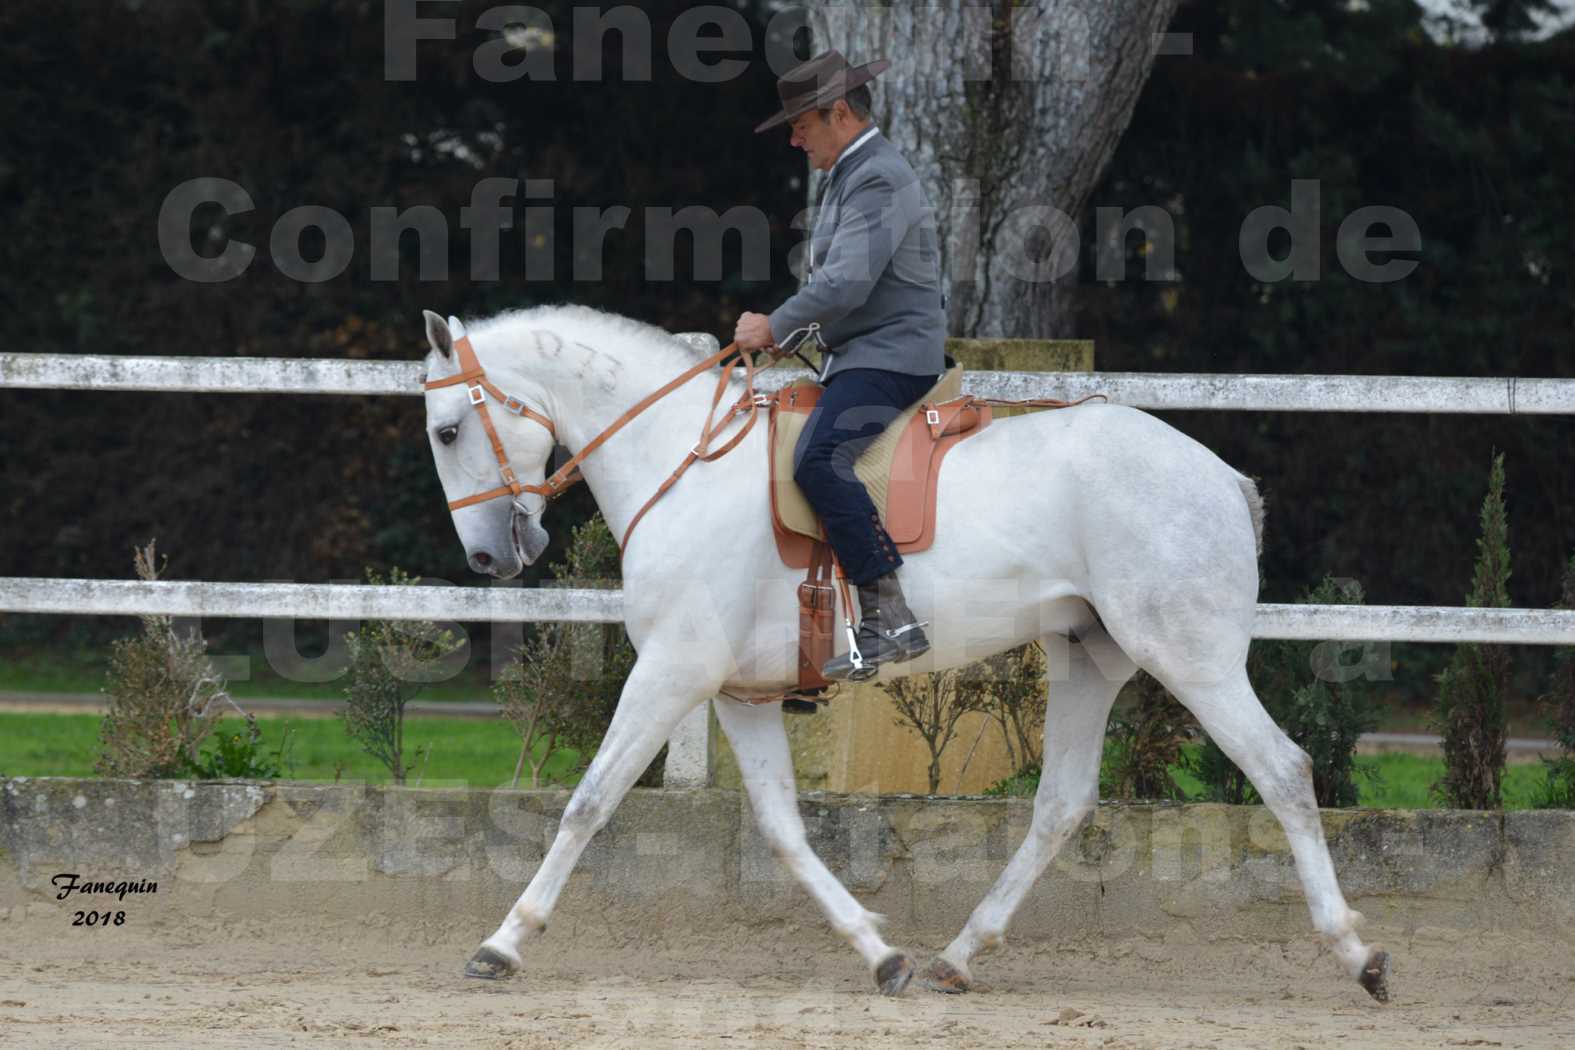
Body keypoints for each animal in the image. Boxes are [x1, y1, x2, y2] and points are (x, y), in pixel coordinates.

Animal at [418, 302, 1392, 1001]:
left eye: (447, 431)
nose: (488, 559)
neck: (685, 461)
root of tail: (1221, 477)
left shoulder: (672, 671)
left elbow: (588, 802)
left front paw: (502, 943)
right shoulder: (737, 693)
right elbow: (781, 828)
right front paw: (878, 954)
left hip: (1190, 658)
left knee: (1281, 771)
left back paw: (1357, 953)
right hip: (1088, 657)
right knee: (1060, 804)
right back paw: (957, 956)